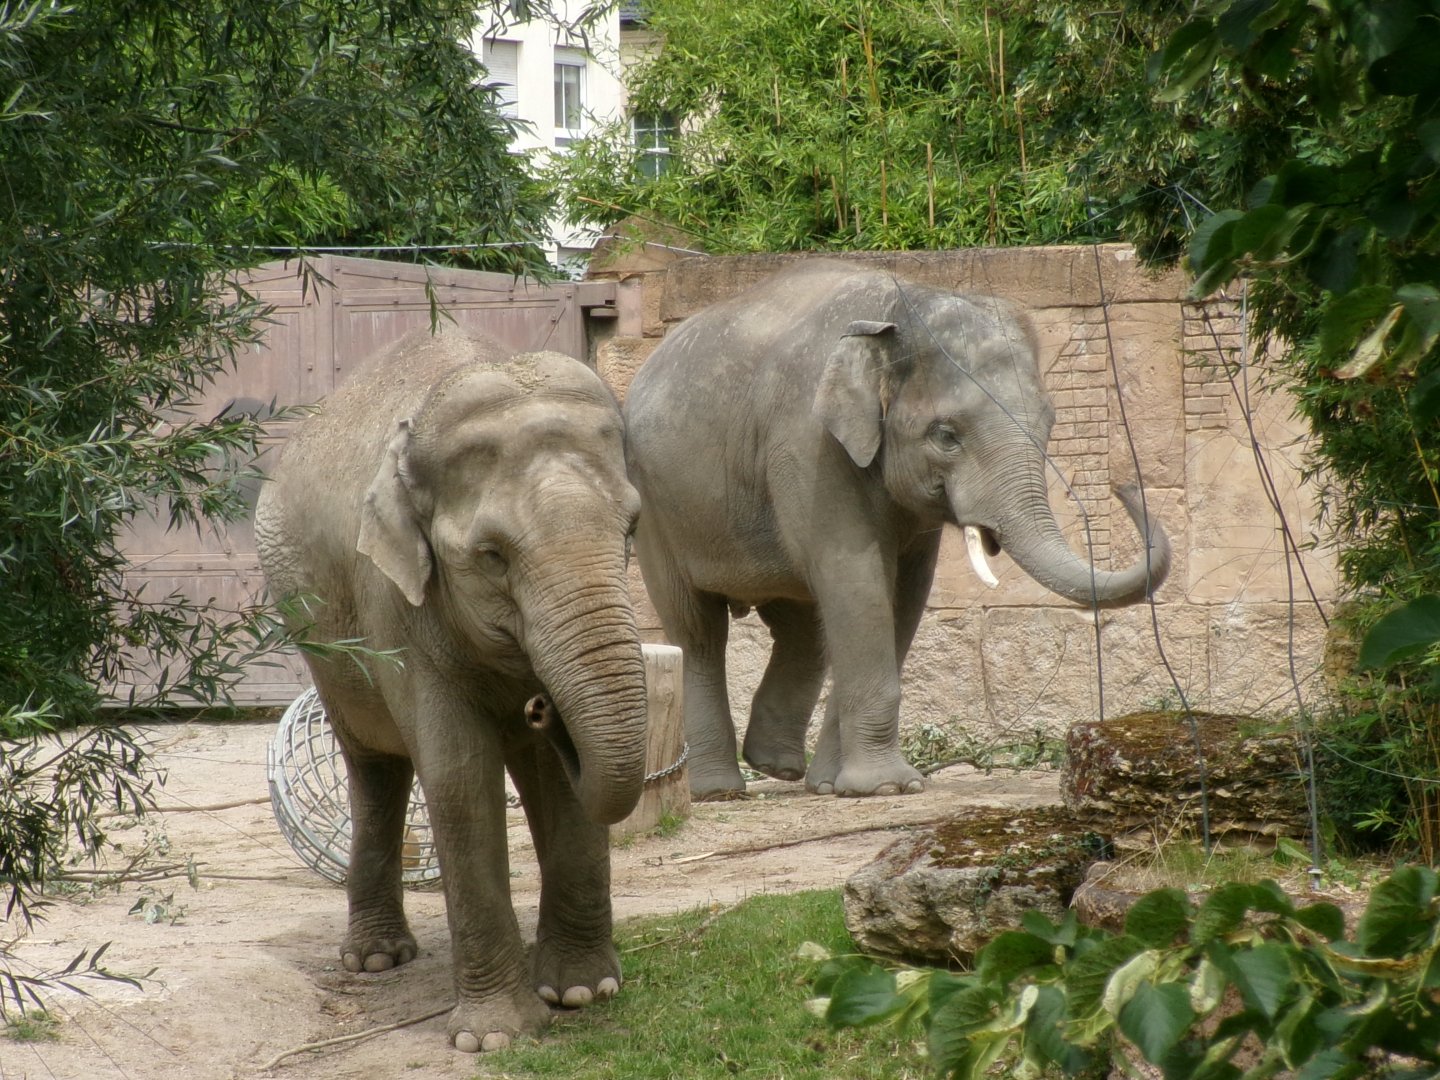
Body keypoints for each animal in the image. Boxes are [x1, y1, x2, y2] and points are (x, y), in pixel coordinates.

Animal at [254, 327, 647, 1052]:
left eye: (630, 529)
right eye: (491, 556)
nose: (541, 706)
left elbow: (558, 780)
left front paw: (582, 992)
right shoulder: (395, 602)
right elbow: (458, 776)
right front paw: (494, 1038)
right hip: (319, 639)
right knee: (375, 767)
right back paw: (377, 958)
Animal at [623, 259, 1170, 801]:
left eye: (1049, 425)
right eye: (946, 435)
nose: (1125, 486)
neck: (899, 305)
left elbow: (903, 593)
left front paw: (841, 787)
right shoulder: (809, 445)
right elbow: (856, 576)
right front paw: (886, 788)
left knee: (801, 625)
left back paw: (780, 768)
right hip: (654, 504)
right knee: (698, 630)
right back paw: (719, 791)